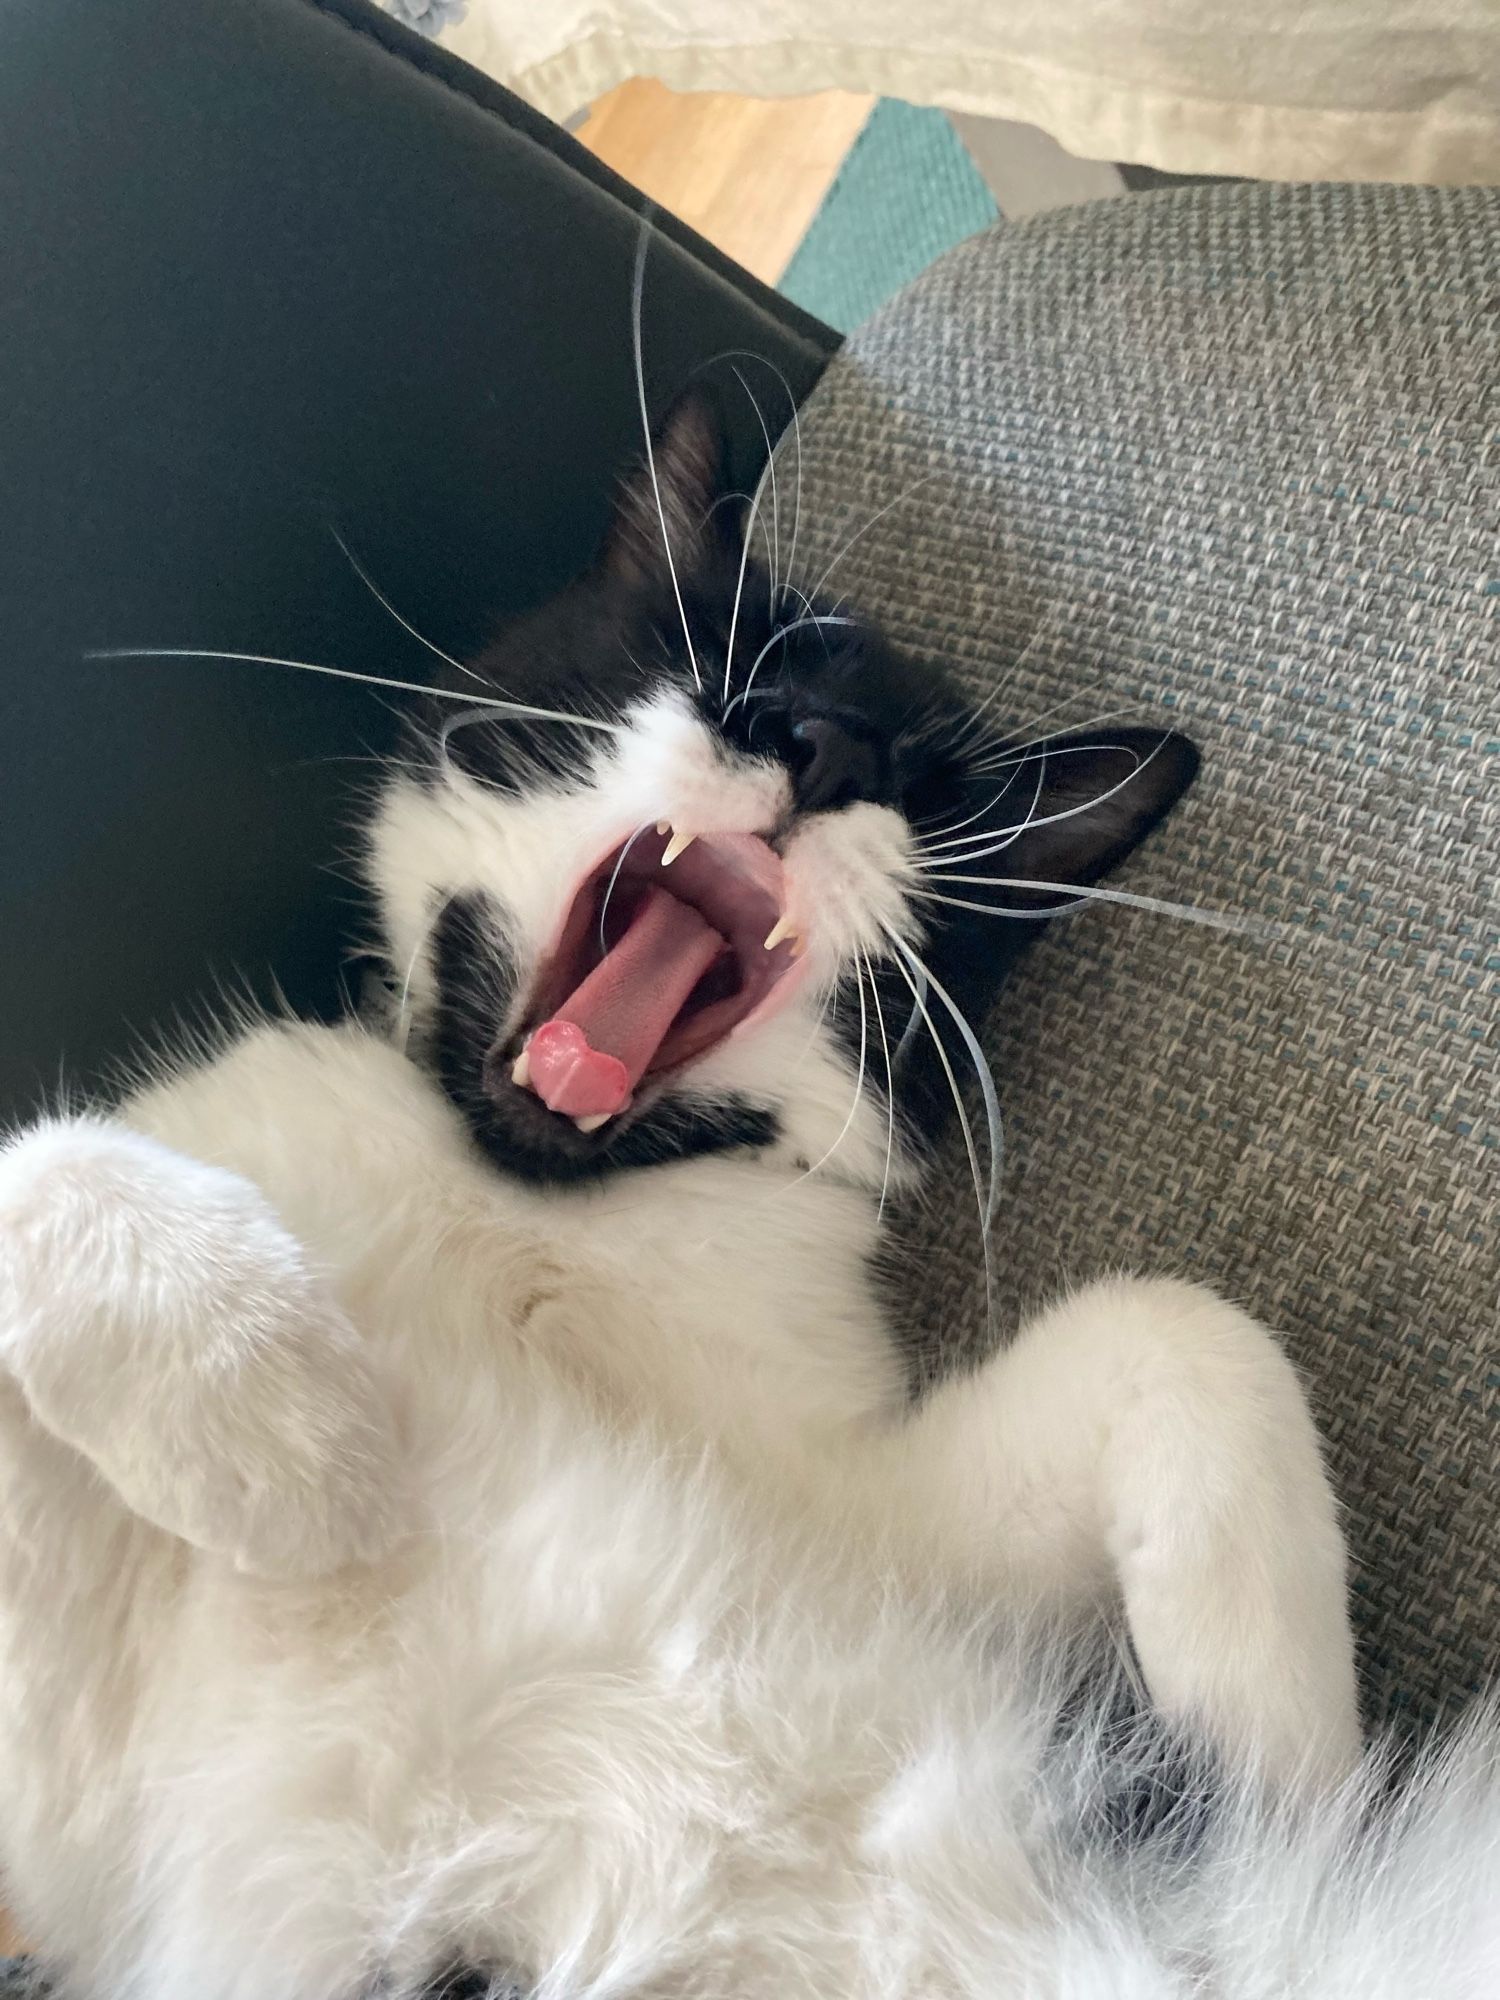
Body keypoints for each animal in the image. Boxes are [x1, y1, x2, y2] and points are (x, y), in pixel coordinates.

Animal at [0, 394, 1488, 2000]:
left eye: (929, 790)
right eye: (718, 658)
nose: (823, 742)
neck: (531, 1207)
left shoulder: (856, 1516)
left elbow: (1185, 1325)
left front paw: (1281, 1769)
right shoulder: (75, 1731)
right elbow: (52, 1160)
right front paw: (282, 1424)